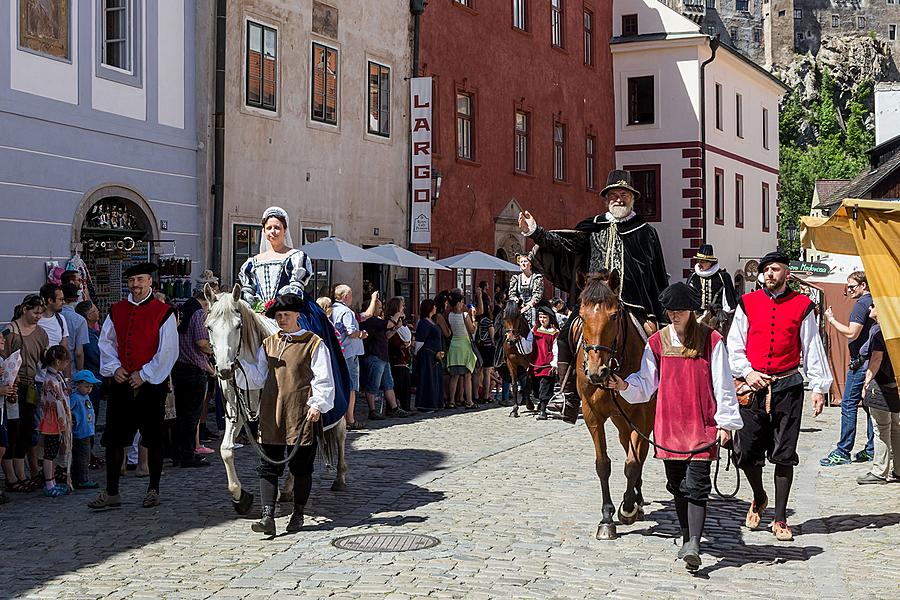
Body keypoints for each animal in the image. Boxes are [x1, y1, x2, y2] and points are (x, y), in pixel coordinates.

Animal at [204, 284, 348, 512]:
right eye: (209, 327)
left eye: (238, 326)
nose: (225, 370)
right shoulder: (238, 411)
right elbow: (226, 450)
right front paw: (240, 496)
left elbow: (272, 455)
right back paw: (289, 488)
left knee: (340, 433)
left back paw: (339, 478)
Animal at [576, 274, 652, 540]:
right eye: (581, 315)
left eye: (613, 316)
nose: (597, 371)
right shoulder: (592, 415)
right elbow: (603, 465)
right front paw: (606, 518)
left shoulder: (641, 417)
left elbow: (632, 464)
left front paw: (627, 508)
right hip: (620, 421)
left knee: (639, 455)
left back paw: (636, 503)